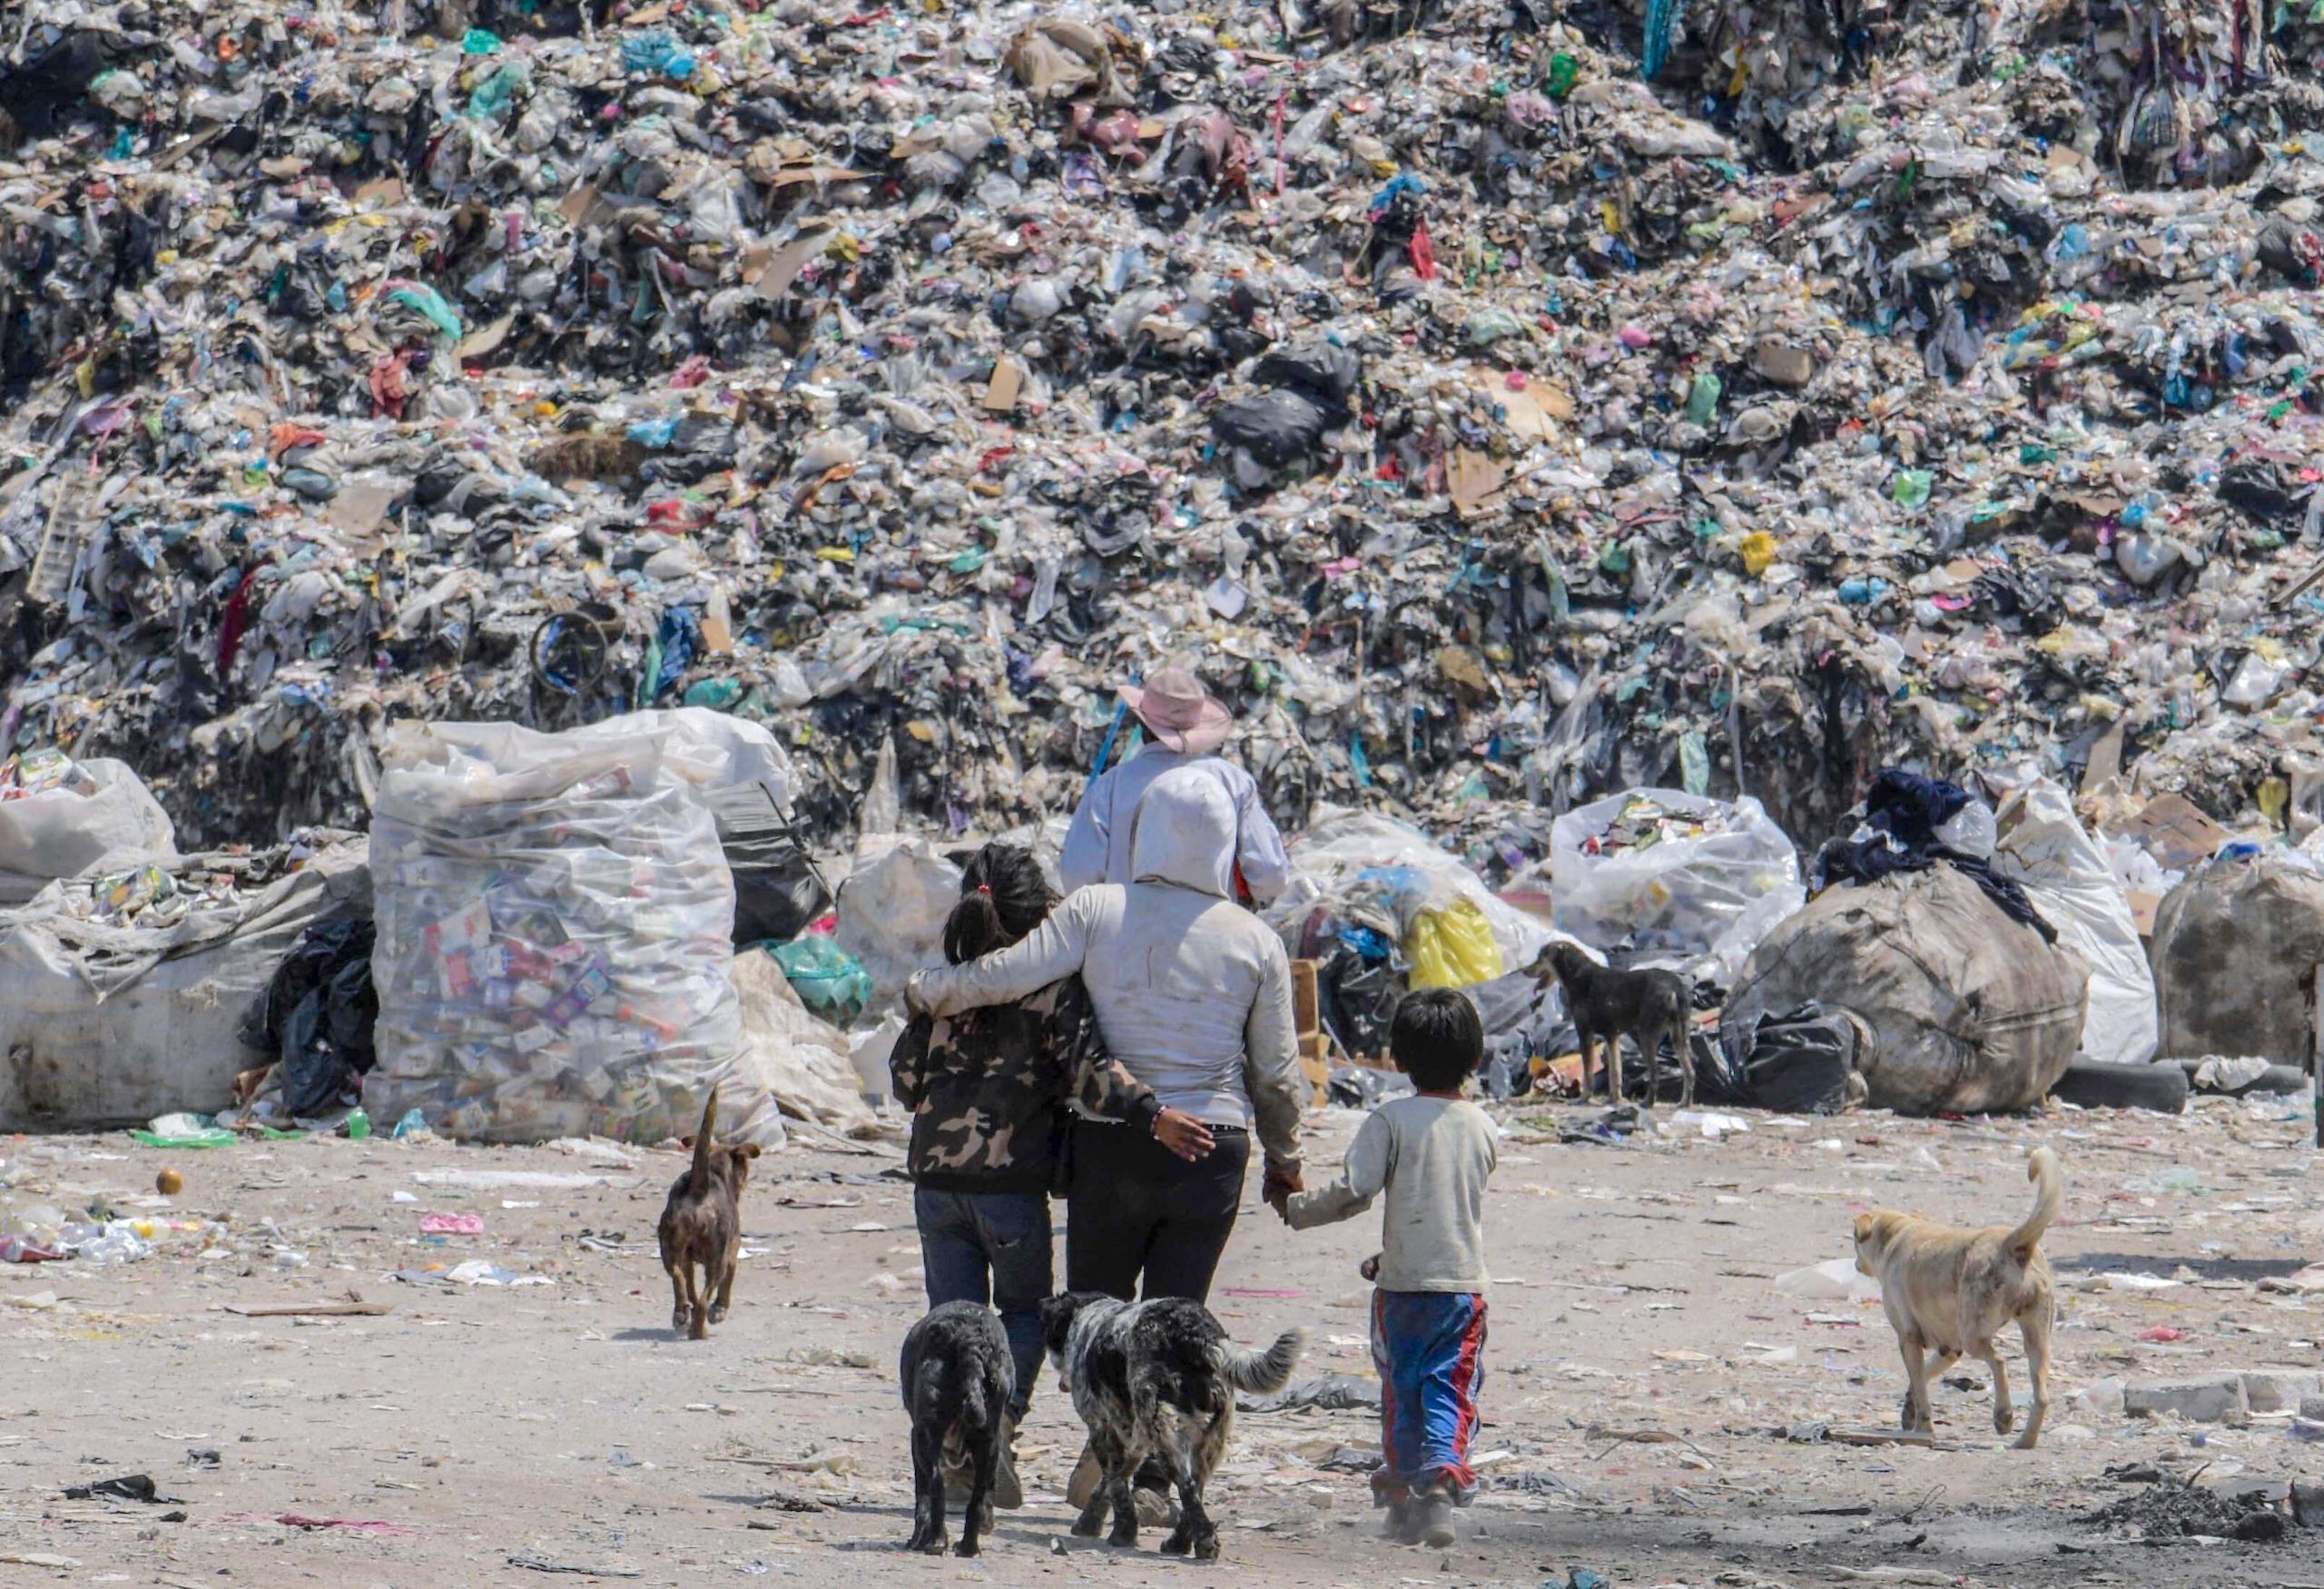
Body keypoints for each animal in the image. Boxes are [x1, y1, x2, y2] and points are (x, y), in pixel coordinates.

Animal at [897, 1309, 1009, 1561]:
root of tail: (969, 1340)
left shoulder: (917, 1440)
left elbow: (922, 1498)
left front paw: (917, 1539)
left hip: (925, 1439)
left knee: (936, 1487)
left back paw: (936, 1541)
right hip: (989, 1443)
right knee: (977, 1499)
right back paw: (968, 1547)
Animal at [1040, 1291, 1301, 1552]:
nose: (1062, 1384)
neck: (1089, 1315)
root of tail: (1196, 1331)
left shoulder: (1102, 1429)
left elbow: (1115, 1484)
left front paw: (1121, 1533)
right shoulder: (1135, 1442)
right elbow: (1111, 1481)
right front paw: (1093, 1522)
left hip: (1164, 1432)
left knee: (1187, 1488)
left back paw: (1203, 1541)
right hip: (1211, 1438)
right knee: (1196, 1488)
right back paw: (1180, 1542)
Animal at [1533, 943, 1700, 1105]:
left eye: (1540, 957)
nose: (1527, 970)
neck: (1575, 973)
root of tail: (1675, 986)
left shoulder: (1585, 1033)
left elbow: (1588, 1073)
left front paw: (1583, 1099)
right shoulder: (1612, 1036)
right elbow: (1615, 1072)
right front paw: (1615, 1100)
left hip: (1646, 1036)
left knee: (1656, 1072)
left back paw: (1647, 1103)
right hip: (1679, 1035)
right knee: (1690, 1072)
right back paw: (1685, 1103)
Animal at [1859, 1142, 2063, 1449]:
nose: (1856, 1265)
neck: (1896, 1234)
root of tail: (2012, 1244)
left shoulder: (1908, 1338)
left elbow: (1920, 1384)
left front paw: (1922, 1427)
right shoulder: (1950, 1348)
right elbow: (1921, 1378)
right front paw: (1908, 1410)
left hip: (1974, 1335)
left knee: (1999, 1361)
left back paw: (2003, 1416)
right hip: (2037, 1339)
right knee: (2041, 1395)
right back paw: (2025, 1440)